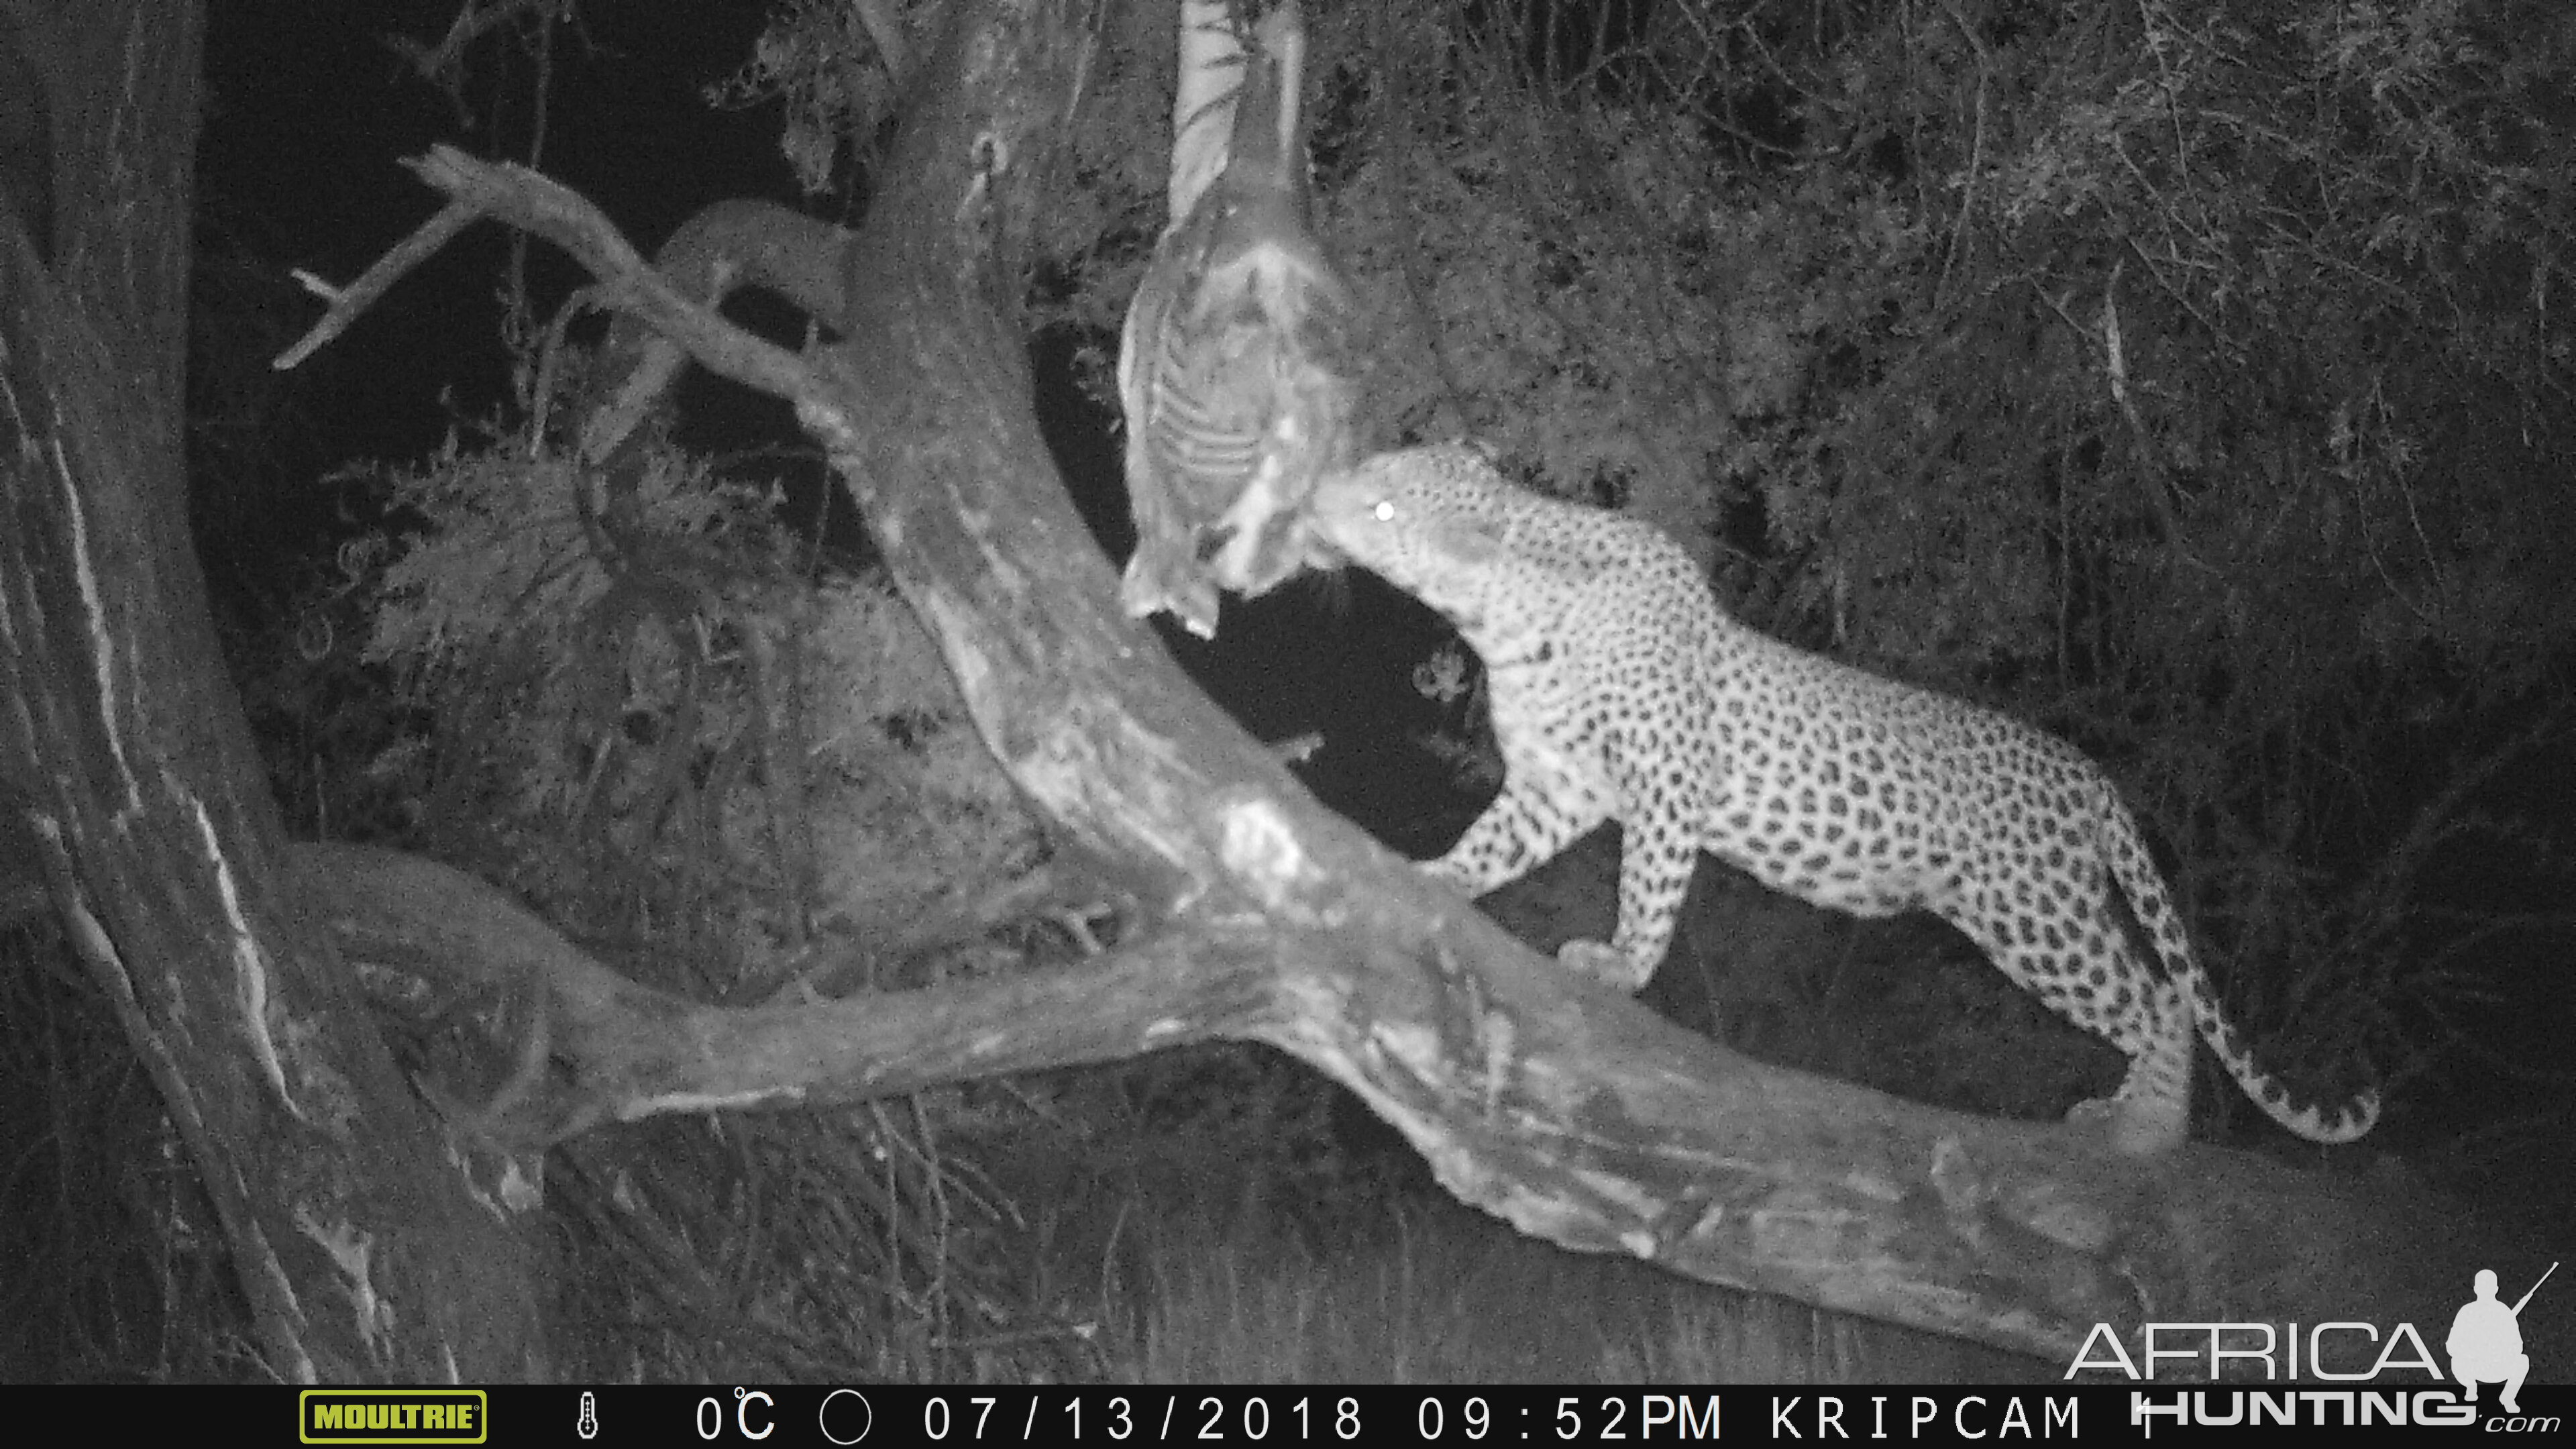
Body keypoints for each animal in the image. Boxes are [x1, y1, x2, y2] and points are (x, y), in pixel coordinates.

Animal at [1319, 441, 2380, 1150]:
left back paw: (2146, 1128)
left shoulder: (1664, 786)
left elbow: (1649, 891)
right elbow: (1490, 842)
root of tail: (2091, 777)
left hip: (2032, 910)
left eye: (1384, 509)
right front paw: (1432, 876)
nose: (1321, 501)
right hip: (2025, 910)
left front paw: (1617, 966)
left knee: (2158, 996)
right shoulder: (1558, 786)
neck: (1505, 616)